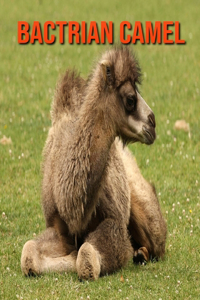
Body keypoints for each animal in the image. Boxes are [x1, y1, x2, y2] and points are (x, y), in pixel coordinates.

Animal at [21, 45, 166, 280]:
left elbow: (87, 256)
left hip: (149, 217)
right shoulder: (57, 226)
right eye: (130, 99)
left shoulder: (114, 222)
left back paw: (140, 254)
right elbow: (29, 254)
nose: (152, 124)